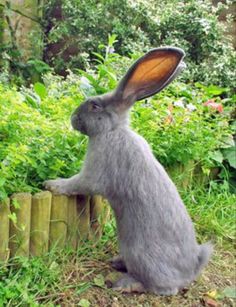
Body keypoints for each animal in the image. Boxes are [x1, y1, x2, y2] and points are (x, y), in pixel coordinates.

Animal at [44, 47, 212, 296]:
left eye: (94, 105)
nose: (73, 118)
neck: (113, 130)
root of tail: (192, 270)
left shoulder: (93, 173)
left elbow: (75, 184)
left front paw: (51, 184)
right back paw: (117, 263)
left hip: (141, 256)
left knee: (163, 288)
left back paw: (123, 283)